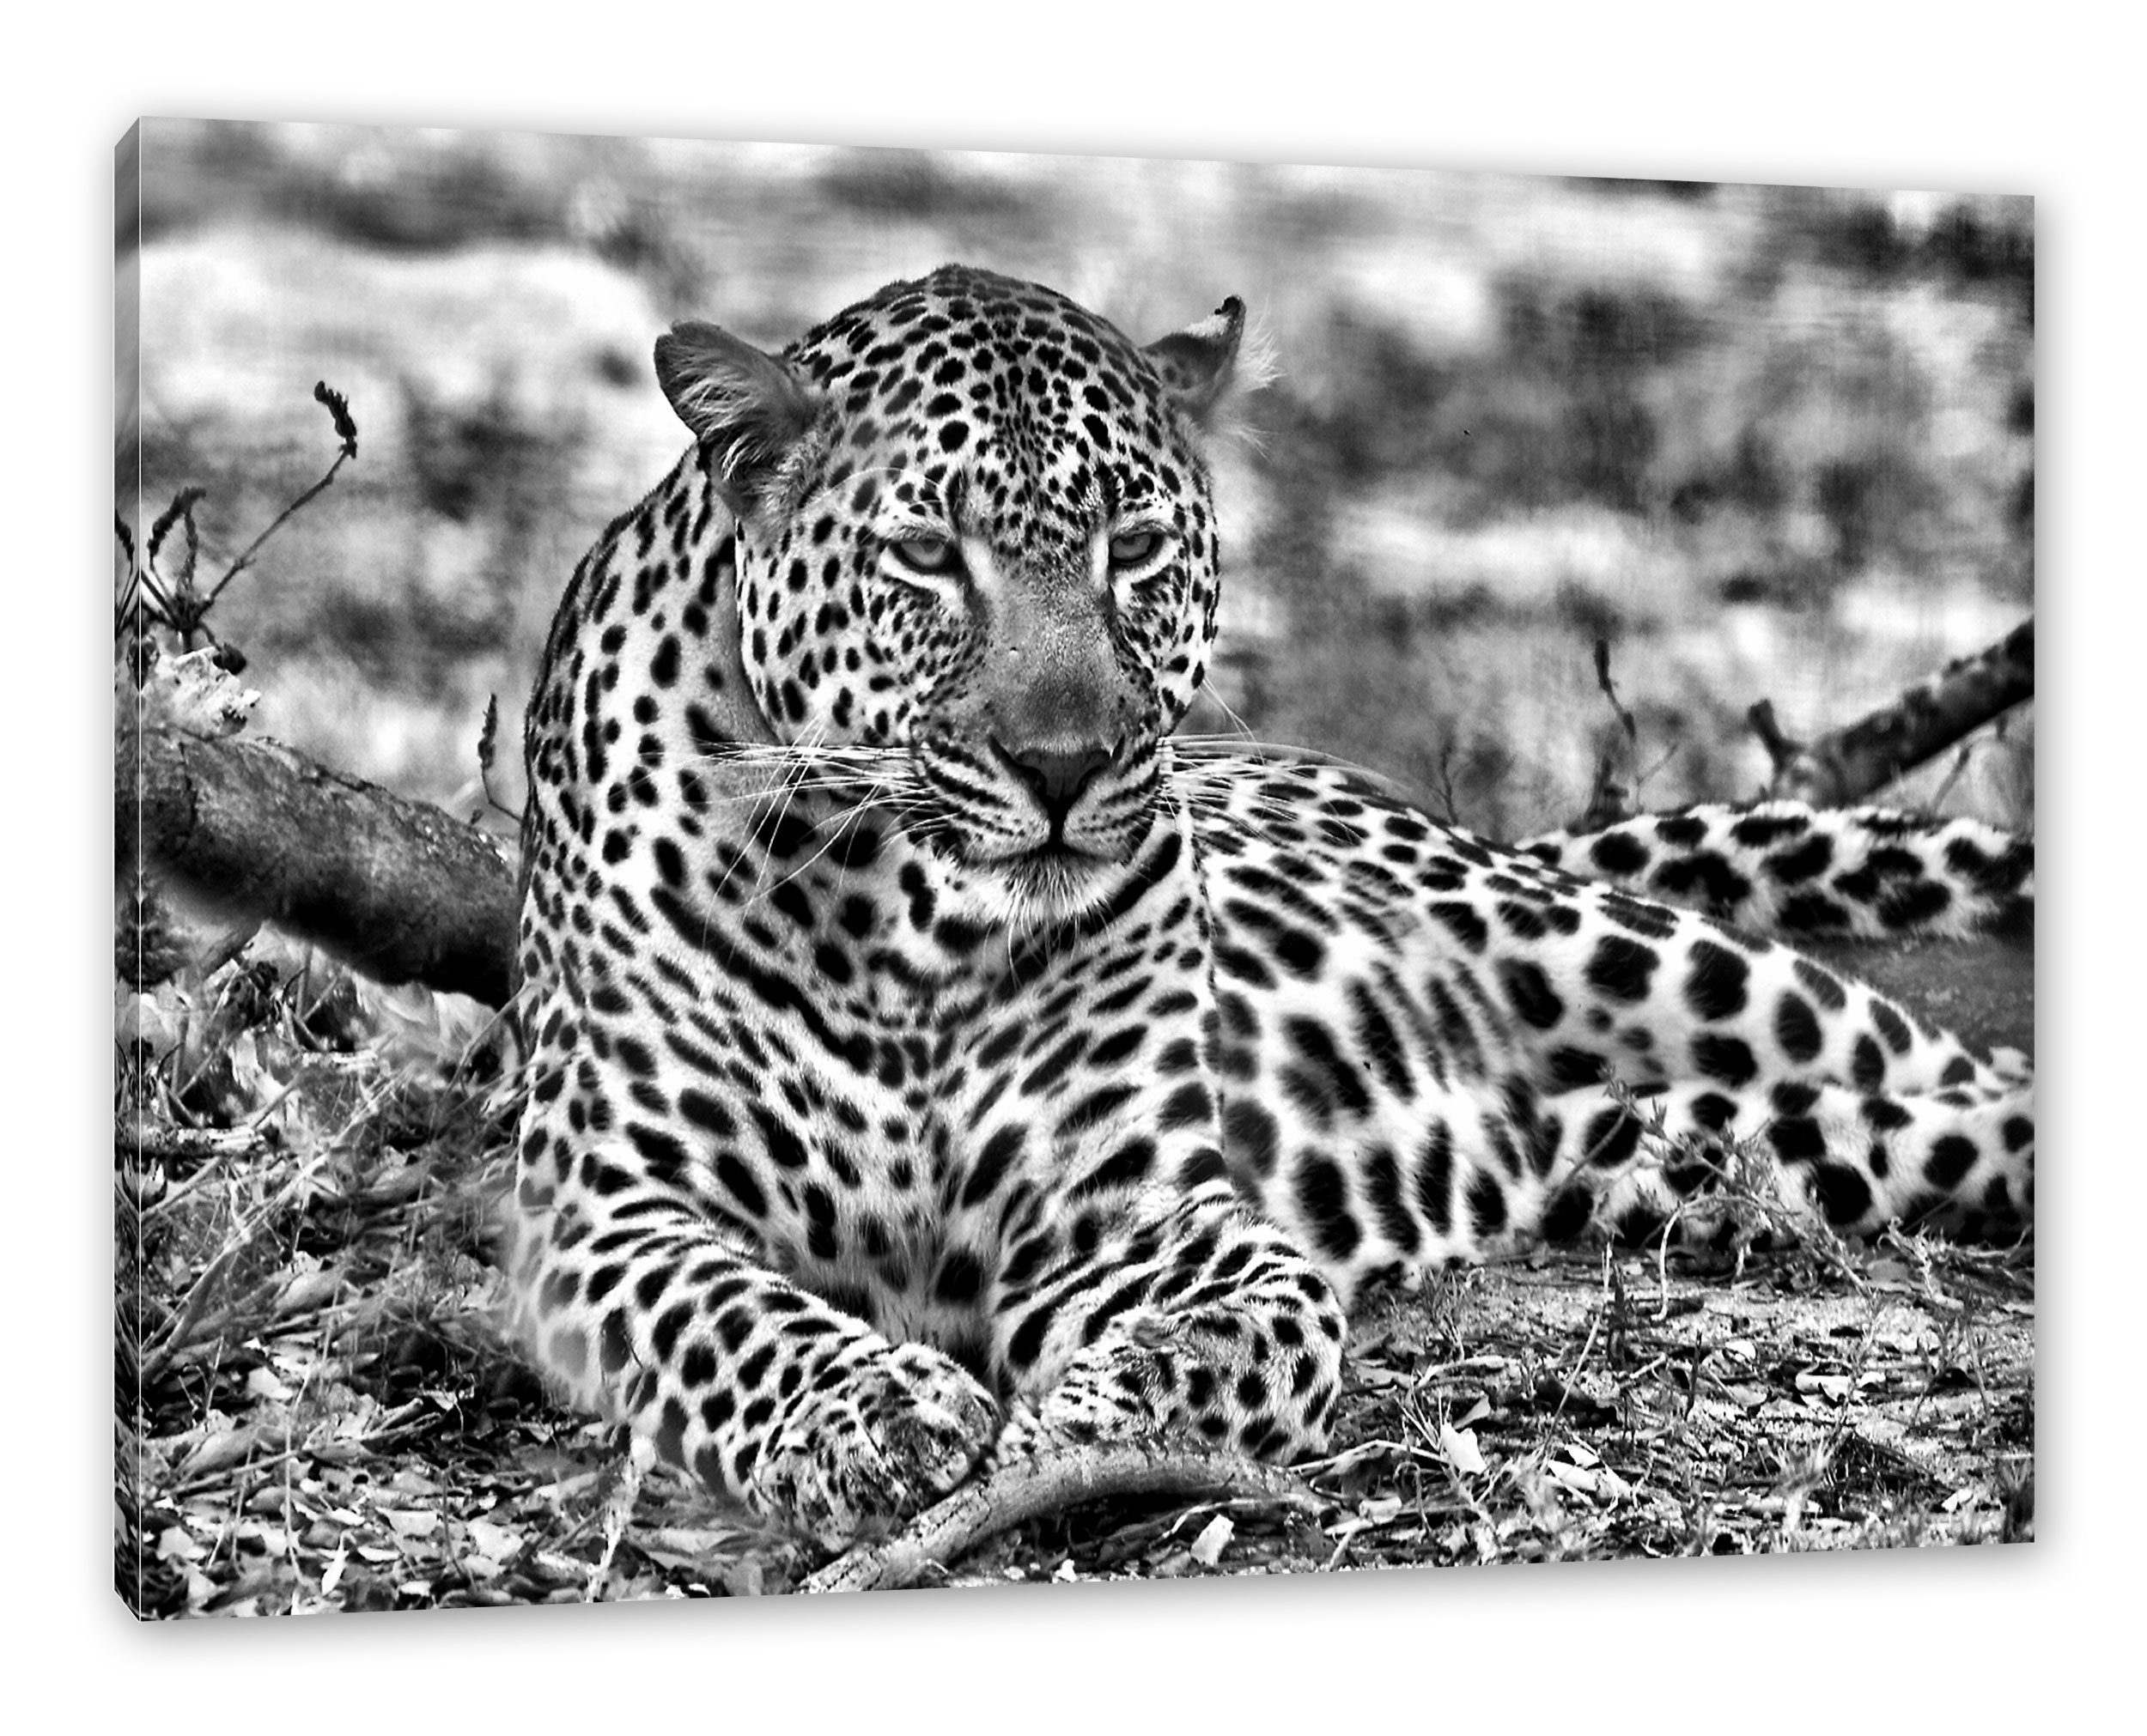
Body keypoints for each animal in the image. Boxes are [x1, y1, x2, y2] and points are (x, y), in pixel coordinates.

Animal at [506, 264, 2033, 1554]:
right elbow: (732, 1316)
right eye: (926, 556)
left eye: (1133, 549)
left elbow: (1266, 1322)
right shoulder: (599, 1210)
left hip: (1666, 965)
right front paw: (876, 1413)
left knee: (1964, 1072)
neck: (901, 928)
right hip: (1683, 1146)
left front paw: (1090, 1416)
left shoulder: (1137, 1209)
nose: (1063, 765)